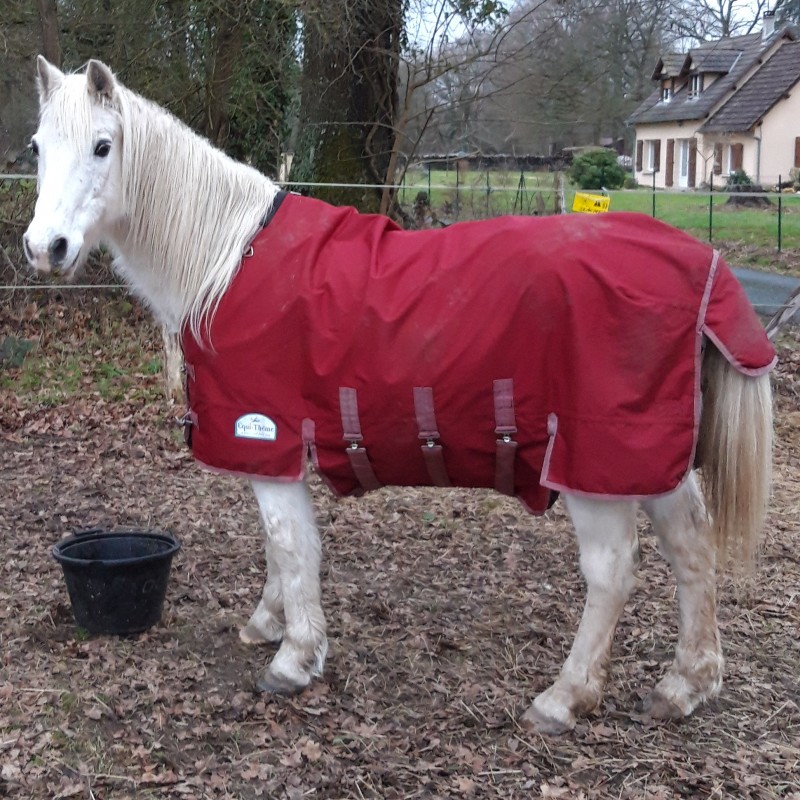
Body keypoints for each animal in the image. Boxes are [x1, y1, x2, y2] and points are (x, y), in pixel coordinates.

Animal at [23, 57, 775, 735]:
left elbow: (292, 546)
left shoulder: (266, 436)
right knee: (691, 547)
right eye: (36, 148)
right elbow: (278, 546)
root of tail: (697, 261)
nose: (43, 247)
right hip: (646, 456)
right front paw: (268, 623)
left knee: (612, 572)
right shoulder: (271, 453)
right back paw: (686, 684)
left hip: (591, 465)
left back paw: (565, 698)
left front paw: (295, 657)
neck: (225, 260)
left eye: (103, 145)